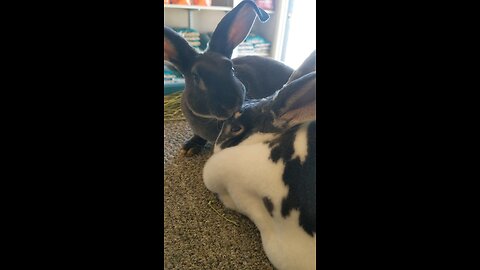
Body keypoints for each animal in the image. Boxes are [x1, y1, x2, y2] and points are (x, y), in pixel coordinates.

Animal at [164, 0, 292, 156]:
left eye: (231, 69)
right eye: (196, 77)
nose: (230, 104)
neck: (211, 119)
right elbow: (198, 135)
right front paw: (189, 148)